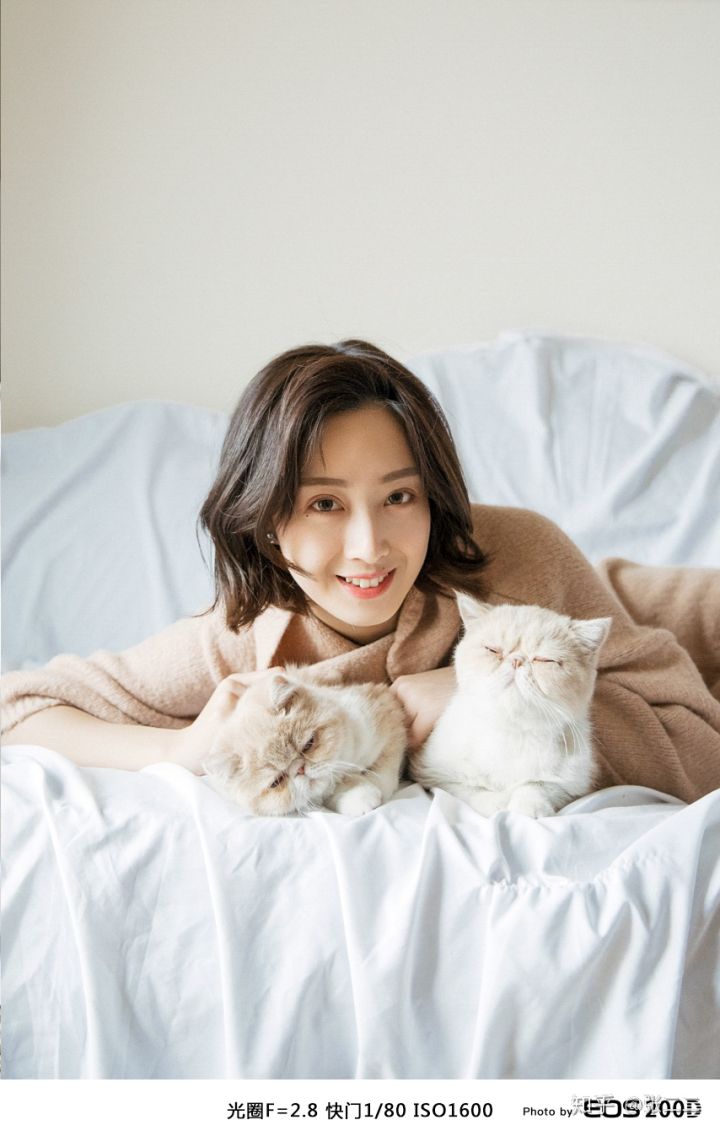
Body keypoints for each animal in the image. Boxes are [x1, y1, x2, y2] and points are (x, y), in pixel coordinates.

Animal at [204, 666, 407, 817]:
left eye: (308, 744)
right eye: (276, 781)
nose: (300, 769)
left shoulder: (385, 710)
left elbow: (384, 771)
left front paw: (376, 785)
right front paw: (359, 797)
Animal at [408, 595, 612, 818]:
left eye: (544, 660)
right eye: (492, 650)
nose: (516, 661)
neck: (511, 733)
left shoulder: (571, 784)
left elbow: (537, 785)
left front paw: (530, 806)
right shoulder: (435, 775)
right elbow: (472, 791)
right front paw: (498, 803)